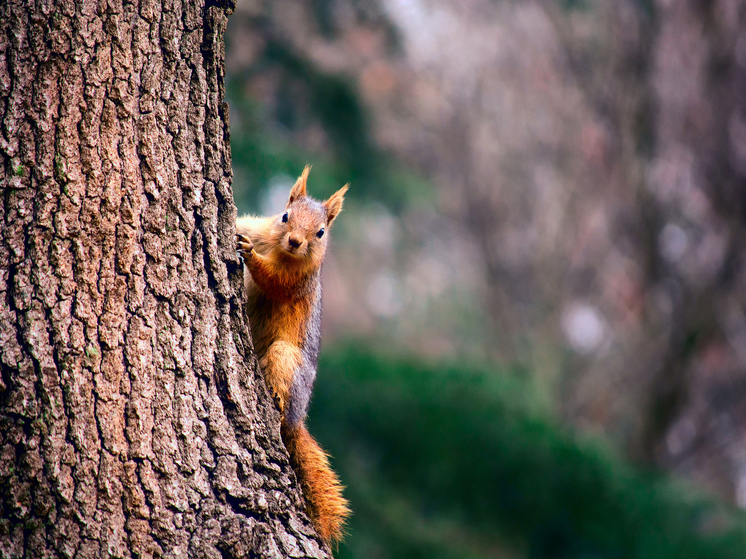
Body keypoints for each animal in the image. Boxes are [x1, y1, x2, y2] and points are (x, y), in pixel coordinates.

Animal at [234, 167, 350, 548]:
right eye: (285, 216)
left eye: (321, 232)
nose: (296, 242)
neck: (278, 249)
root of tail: (300, 417)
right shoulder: (259, 227)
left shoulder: (297, 280)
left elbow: (273, 280)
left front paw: (251, 256)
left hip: (285, 358)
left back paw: (277, 399)